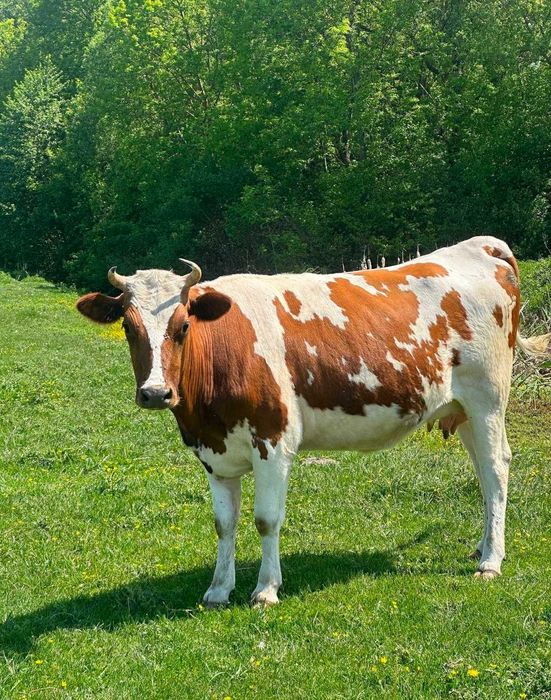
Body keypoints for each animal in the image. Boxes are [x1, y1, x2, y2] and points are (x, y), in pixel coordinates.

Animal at [76, 236, 549, 606]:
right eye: (129, 328)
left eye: (182, 326)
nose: (156, 393)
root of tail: (483, 245)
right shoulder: (213, 452)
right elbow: (224, 524)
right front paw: (218, 589)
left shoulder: (274, 441)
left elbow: (266, 519)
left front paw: (266, 589)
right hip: (462, 409)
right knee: (483, 474)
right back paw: (482, 546)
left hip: (488, 399)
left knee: (496, 468)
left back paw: (491, 560)